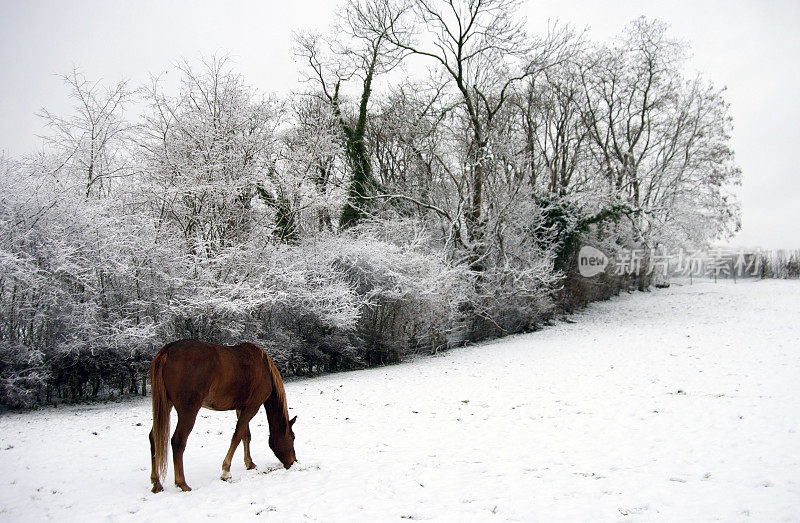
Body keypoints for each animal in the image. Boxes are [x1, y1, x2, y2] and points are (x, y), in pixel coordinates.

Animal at [148, 342, 296, 494]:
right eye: (293, 437)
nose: (293, 461)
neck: (265, 368)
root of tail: (167, 351)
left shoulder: (240, 407)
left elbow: (245, 435)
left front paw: (249, 463)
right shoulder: (252, 407)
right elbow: (237, 436)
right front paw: (226, 472)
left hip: (165, 405)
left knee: (154, 438)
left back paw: (156, 483)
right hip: (188, 411)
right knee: (178, 441)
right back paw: (182, 483)